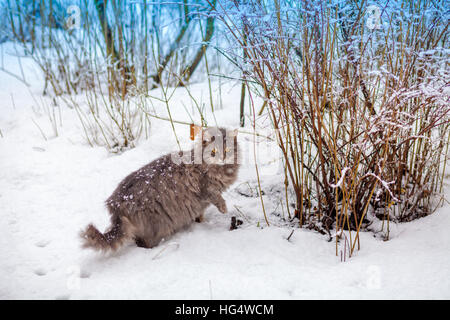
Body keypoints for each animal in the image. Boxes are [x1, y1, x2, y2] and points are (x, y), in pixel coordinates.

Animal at [80, 126, 239, 251]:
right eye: (213, 151)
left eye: (227, 149)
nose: (223, 158)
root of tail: (116, 204)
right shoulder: (205, 189)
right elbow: (217, 197)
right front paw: (223, 208)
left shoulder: (199, 205)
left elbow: (200, 215)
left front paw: (201, 222)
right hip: (154, 224)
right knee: (143, 242)